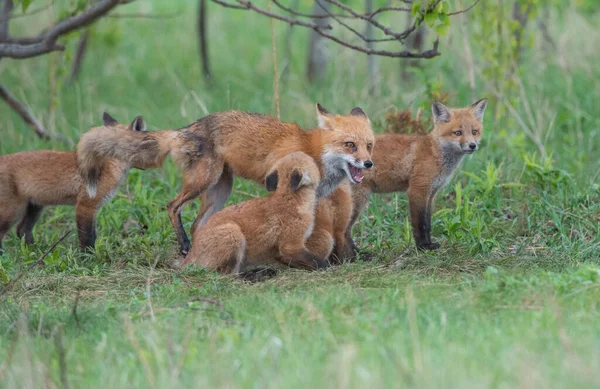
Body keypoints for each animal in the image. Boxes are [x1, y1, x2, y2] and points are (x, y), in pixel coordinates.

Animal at [0, 112, 145, 252]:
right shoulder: (85, 206)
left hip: (35, 207)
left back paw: (34, 252)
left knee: (22, 229)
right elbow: (87, 238)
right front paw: (89, 257)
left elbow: (92, 236)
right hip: (13, 211)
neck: (110, 166)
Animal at [77, 103, 372, 256]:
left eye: (369, 145)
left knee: (197, 224)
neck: (315, 152)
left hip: (220, 190)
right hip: (203, 181)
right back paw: (185, 246)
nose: (369, 164)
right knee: (172, 206)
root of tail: (187, 128)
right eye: (350, 145)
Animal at [350, 98, 486, 250]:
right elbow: (420, 224)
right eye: (458, 133)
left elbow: (428, 223)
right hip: (357, 199)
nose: (472, 145)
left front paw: (429, 243)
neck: (436, 153)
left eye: (474, 131)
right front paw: (423, 246)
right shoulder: (418, 190)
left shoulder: (431, 193)